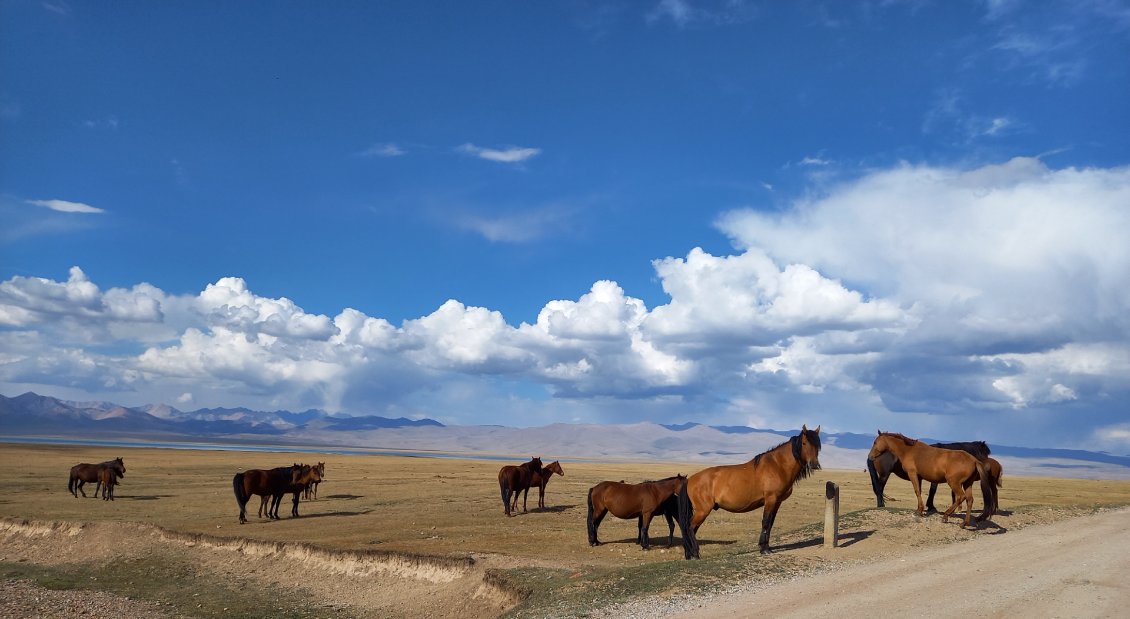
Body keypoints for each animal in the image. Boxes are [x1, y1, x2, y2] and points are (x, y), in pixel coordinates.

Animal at [673, 424, 818, 560]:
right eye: (804, 443)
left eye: (817, 444)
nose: (814, 464)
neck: (778, 466)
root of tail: (690, 480)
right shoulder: (770, 499)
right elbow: (766, 522)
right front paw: (764, 549)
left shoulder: (777, 502)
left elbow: (770, 524)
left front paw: (766, 547)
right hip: (703, 510)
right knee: (690, 527)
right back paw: (695, 554)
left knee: (691, 529)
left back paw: (690, 554)